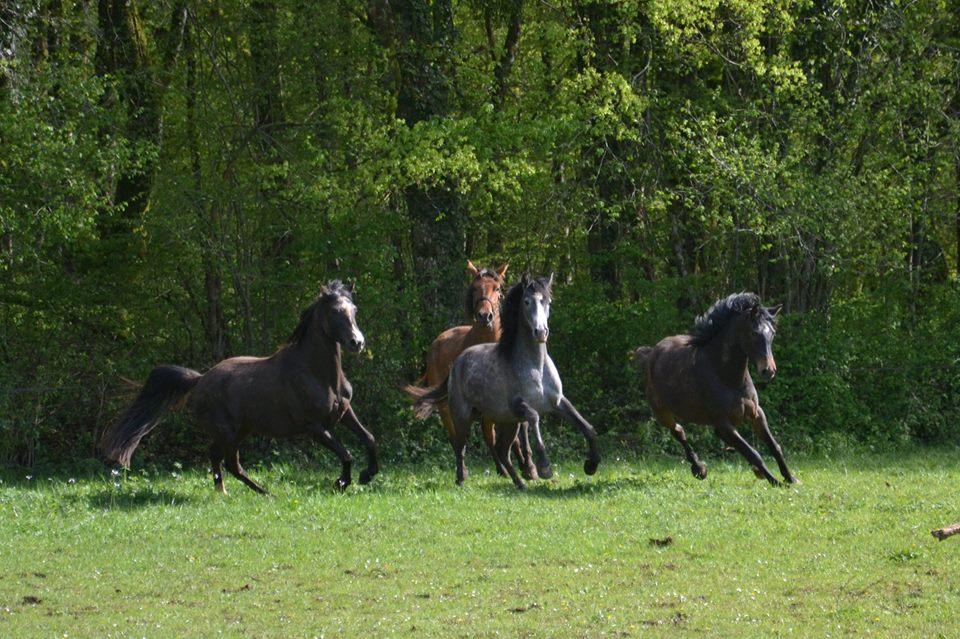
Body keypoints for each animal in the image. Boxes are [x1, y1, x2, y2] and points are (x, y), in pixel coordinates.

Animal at [100, 282, 378, 498]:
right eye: (335, 311)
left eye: (354, 310)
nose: (357, 342)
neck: (319, 375)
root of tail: (201, 379)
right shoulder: (314, 427)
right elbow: (347, 453)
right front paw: (342, 482)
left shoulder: (344, 412)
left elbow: (369, 439)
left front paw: (367, 475)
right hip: (229, 433)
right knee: (232, 464)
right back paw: (265, 493)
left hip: (238, 431)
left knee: (215, 456)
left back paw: (222, 491)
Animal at [404, 274, 600, 490]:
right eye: (526, 301)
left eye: (547, 301)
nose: (541, 332)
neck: (536, 366)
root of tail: (457, 361)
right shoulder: (519, 405)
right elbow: (534, 417)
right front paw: (544, 468)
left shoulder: (557, 403)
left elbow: (587, 427)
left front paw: (591, 465)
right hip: (462, 415)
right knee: (460, 444)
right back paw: (462, 479)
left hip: (507, 421)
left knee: (501, 450)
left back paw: (520, 483)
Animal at [632, 294, 800, 484]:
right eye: (754, 333)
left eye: (772, 333)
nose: (768, 371)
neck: (729, 379)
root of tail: (652, 353)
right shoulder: (723, 424)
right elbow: (754, 453)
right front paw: (776, 482)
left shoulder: (756, 413)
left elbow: (774, 446)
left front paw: (791, 478)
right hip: (662, 413)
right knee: (678, 432)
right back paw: (699, 469)